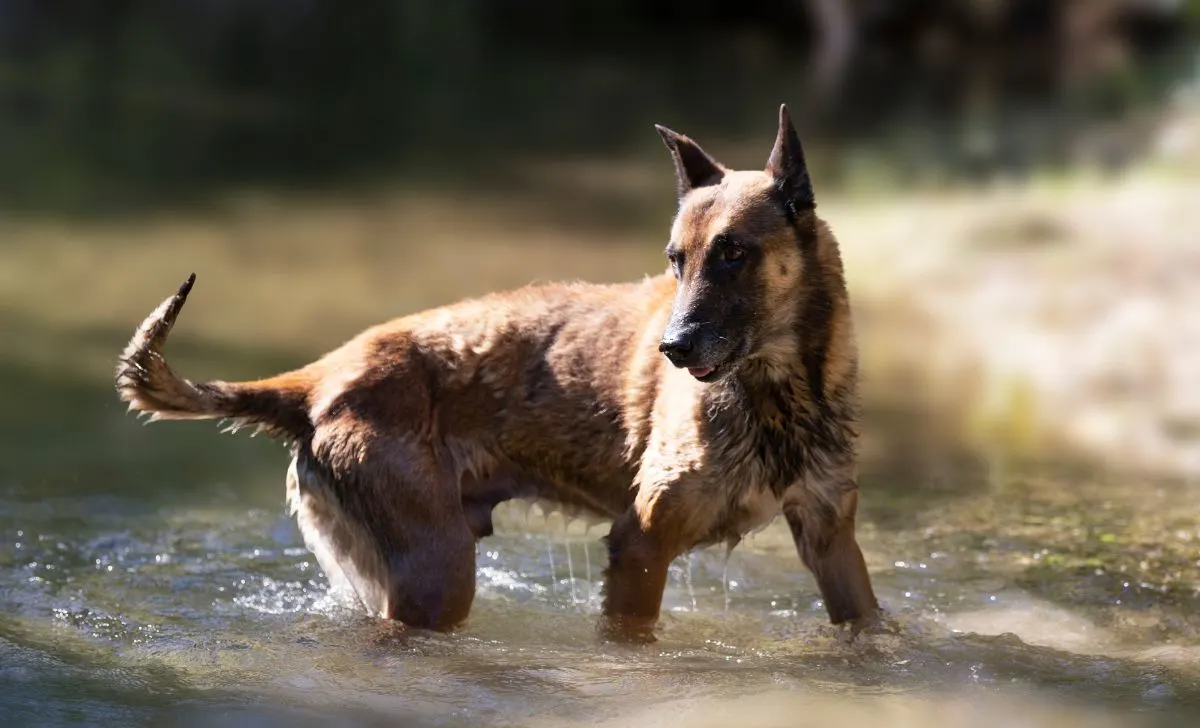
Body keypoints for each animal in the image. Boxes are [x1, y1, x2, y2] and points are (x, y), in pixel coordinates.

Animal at [114, 103, 883, 642]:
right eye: (676, 260)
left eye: (733, 254)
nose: (673, 348)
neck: (780, 390)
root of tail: (321, 380)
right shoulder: (640, 545)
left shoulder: (831, 540)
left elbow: (870, 622)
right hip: (437, 574)